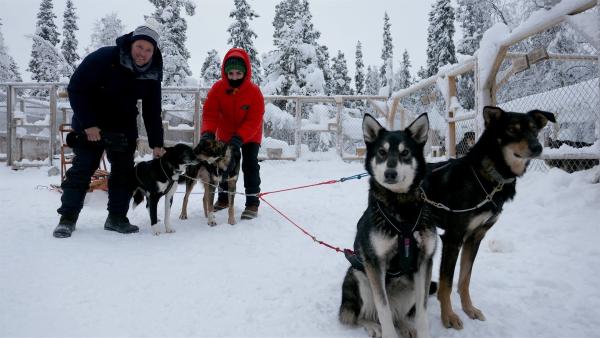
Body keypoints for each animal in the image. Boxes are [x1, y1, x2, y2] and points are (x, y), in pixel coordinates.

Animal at [338, 113, 436, 338]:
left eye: (405, 152)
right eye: (381, 152)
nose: (390, 173)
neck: (401, 206)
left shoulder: (425, 262)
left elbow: (423, 311)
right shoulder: (375, 263)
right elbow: (383, 310)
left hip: (410, 289)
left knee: (398, 316)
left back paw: (406, 326)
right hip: (360, 277)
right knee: (365, 315)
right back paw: (373, 326)